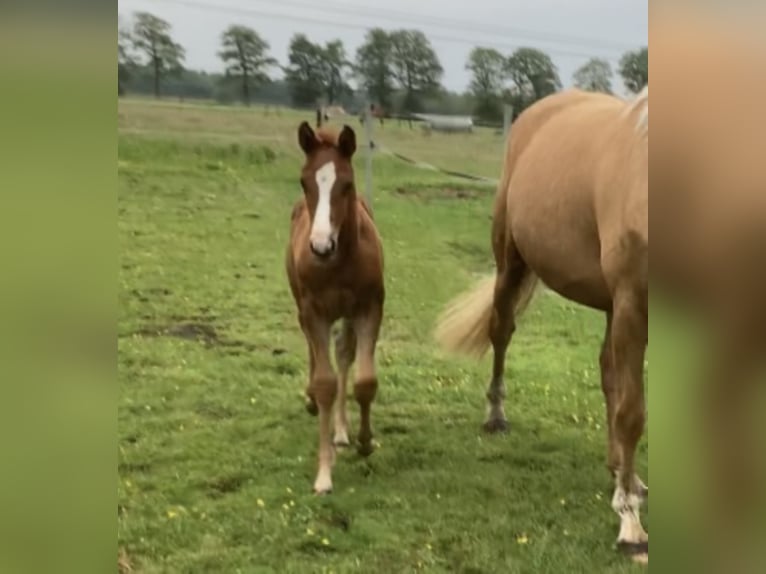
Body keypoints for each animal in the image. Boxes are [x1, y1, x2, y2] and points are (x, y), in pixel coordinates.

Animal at [286, 121, 388, 496]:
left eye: (346, 184)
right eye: (305, 182)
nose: (321, 246)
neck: (339, 263)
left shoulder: (369, 307)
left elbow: (364, 380)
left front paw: (364, 441)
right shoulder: (314, 311)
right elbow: (325, 383)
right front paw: (324, 473)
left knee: (344, 354)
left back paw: (342, 432)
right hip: (305, 308)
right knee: (315, 355)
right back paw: (314, 405)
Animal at [438, 89, 648, 564]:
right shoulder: (633, 302)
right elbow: (632, 413)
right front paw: (631, 527)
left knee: (608, 373)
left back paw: (620, 472)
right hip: (511, 262)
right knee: (501, 331)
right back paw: (496, 416)